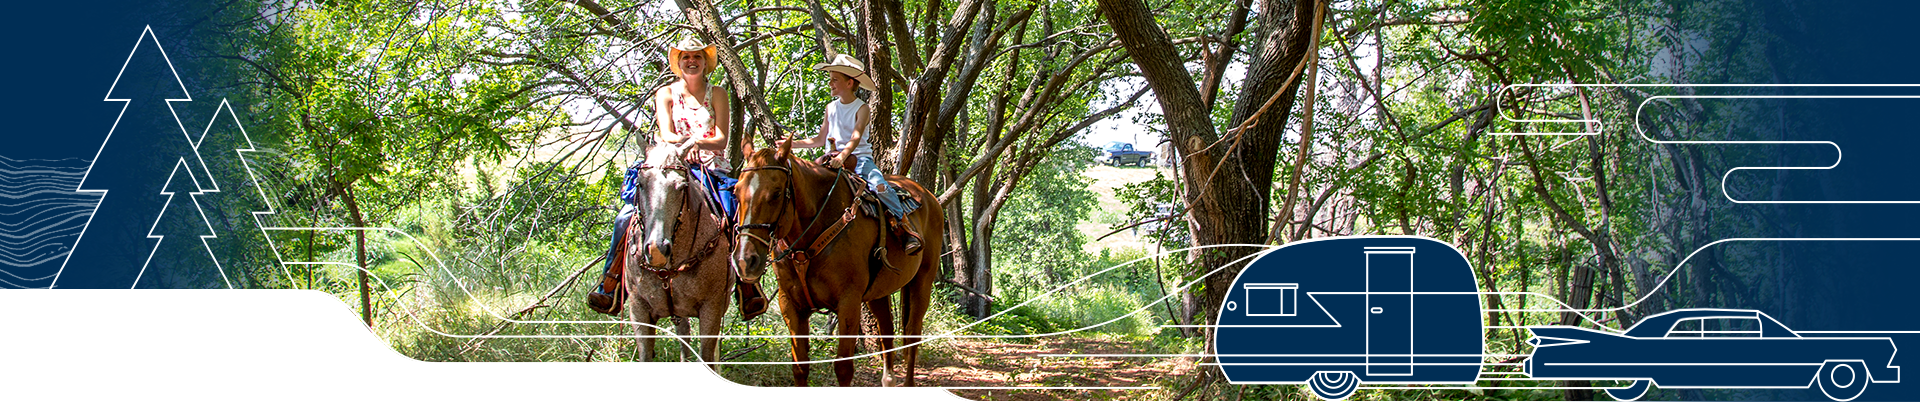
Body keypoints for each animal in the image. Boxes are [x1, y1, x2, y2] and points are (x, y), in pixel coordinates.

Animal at [625, 143, 729, 367]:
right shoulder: (638, 308)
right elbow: (645, 357)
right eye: (640, 184)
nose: (656, 250)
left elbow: (707, 357)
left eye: (681, 186)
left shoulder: (711, 308)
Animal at [729, 141, 940, 384]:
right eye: (736, 191)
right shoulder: (790, 304)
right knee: (887, 330)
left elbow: (843, 368)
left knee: (913, 333)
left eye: (776, 193)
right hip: (878, 292)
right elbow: (799, 367)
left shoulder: (848, 301)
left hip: (922, 281)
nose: (745, 260)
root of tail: (928, 197)